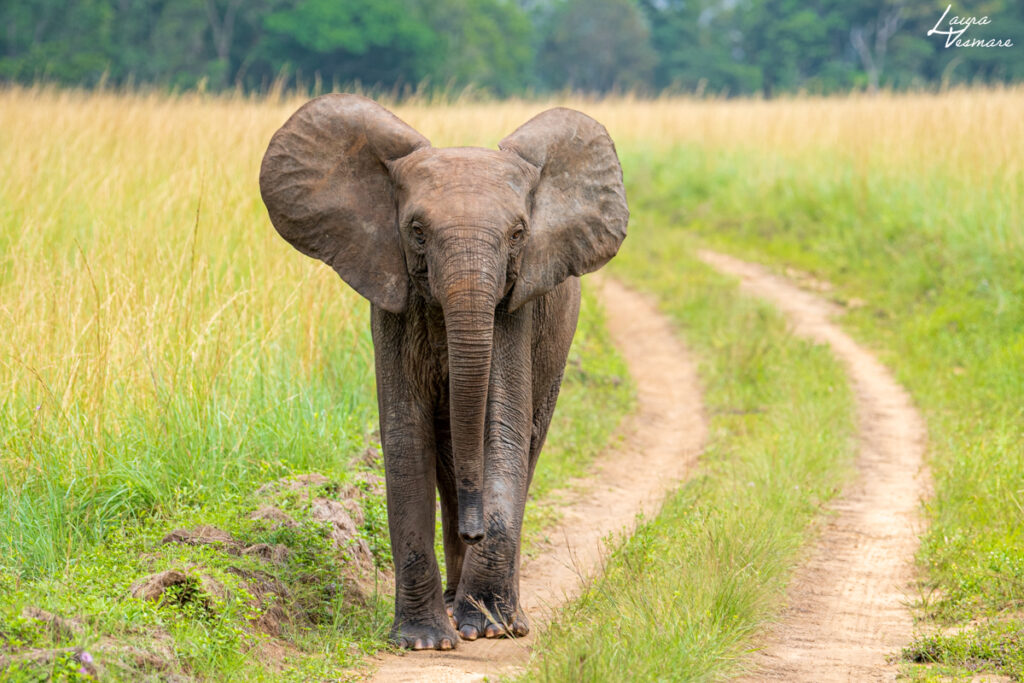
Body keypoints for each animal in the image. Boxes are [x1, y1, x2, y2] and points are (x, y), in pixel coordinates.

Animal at [260, 93, 626, 651]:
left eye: (518, 233)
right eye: (416, 231)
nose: (476, 532)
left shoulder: (515, 309)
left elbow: (502, 431)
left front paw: (488, 627)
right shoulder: (392, 300)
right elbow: (405, 439)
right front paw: (424, 640)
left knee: (526, 445)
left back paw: (503, 618)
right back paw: (456, 606)